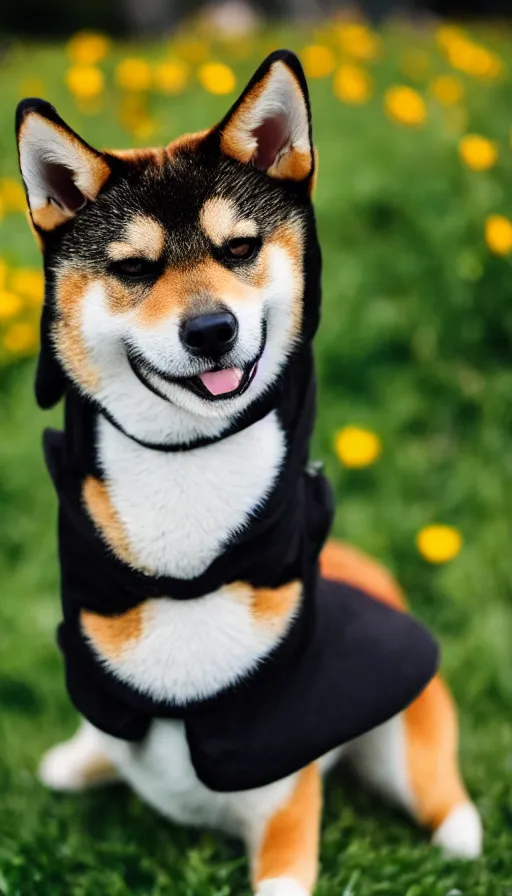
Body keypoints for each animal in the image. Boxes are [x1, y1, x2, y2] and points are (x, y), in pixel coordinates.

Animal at [15, 50, 480, 896]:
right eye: (133, 268)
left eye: (238, 249)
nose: (210, 330)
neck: (189, 569)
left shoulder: (286, 813)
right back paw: (77, 761)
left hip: (405, 748)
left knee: (439, 791)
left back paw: (459, 831)